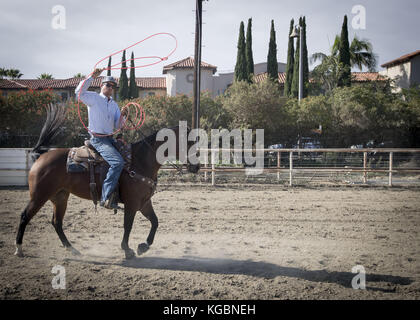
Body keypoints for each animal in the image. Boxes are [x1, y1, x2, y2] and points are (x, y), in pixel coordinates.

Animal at [14, 105, 200, 260]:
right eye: (189, 142)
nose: (197, 167)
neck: (139, 160)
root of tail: (41, 156)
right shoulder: (132, 203)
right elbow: (128, 225)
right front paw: (127, 250)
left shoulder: (144, 202)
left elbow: (155, 222)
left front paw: (143, 246)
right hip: (39, 195)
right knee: (25, 216)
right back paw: (19, 249)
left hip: (60, 197)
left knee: (57, 223)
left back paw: (73, 249)